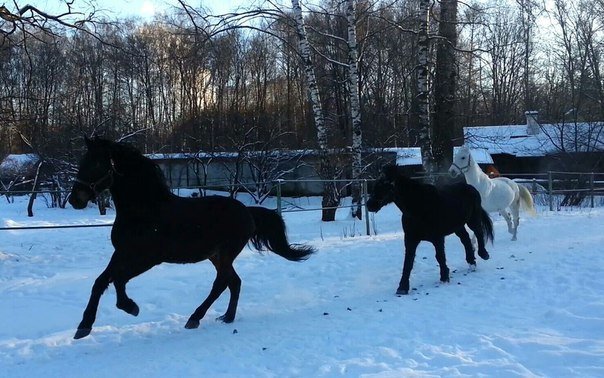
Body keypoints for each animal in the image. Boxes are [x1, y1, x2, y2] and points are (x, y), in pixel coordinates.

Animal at [69, 138, 316, 340]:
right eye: (82, 161)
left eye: (97, 164)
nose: (74, 199)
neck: (145, 211)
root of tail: (247, 211)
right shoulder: (121, 253)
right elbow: (101, 282)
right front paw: (83, 327)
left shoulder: (148, 259)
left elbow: (118, 280)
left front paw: (131, 307)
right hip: (215, 256)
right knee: (234, 282)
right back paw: (227, 317)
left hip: (226, 253)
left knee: (221, 283)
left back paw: (195, 318)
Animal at [366, 165, 494, 296]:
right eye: (376, 184)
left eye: (386, 184)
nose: (369, 205)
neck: (419, 207)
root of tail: (471, 188)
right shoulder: (410, 239)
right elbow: (408, 262)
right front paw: (402, 287)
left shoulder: (438, 237)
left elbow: (440, 257)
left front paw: (444, 277)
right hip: (458, 226)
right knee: (465, 239)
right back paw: (471, 262)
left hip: (472, 219)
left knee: (478, 232)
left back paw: (483, 255)